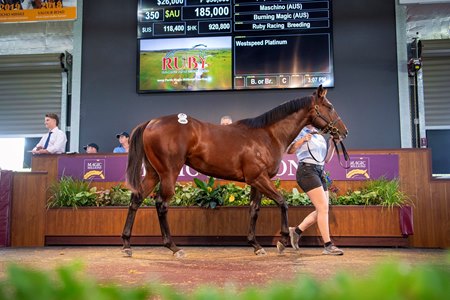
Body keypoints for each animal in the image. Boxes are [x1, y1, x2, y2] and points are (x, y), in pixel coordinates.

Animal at [120, 85, 348, 258]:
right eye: (329, 106)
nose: (343, 131)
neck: (267, 135)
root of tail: (151, 122)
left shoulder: (257, 181)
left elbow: (254, 210)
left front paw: (256, 246)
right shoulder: (259, 178)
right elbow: (282, 203)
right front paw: (283, 240)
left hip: (153, 173)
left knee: (136, 199)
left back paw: (127, 245)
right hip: (168, 173)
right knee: (161, 204)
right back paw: (174, 248)